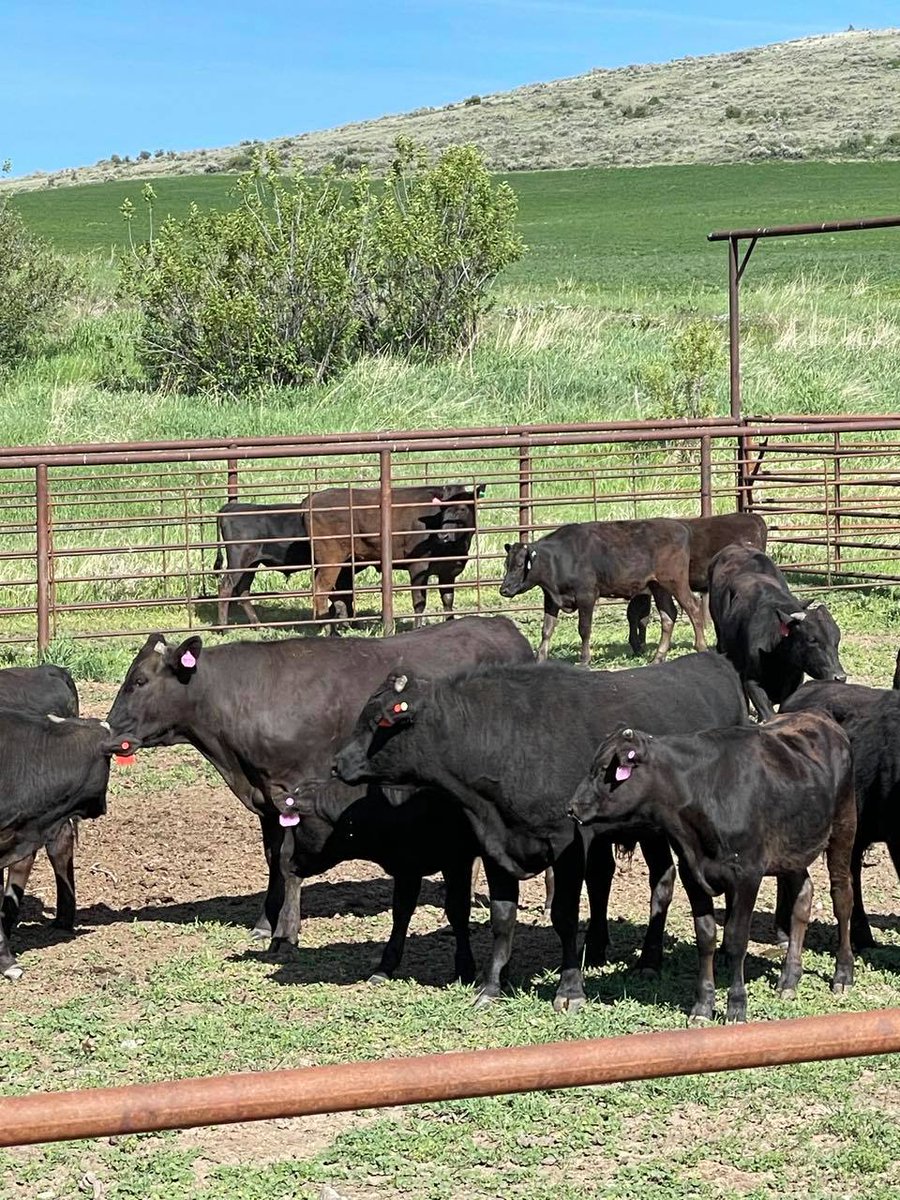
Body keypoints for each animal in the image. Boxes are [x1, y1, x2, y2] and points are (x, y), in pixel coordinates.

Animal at [105, 616, 532, 978]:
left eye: (139, 681)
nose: (108, 734)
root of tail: (502, 626)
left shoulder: (296, 790)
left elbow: (287, 860)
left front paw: (285, 932)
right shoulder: (266, 801)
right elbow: (273, 859)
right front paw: (265, 922)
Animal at [304, 483, 486, 631]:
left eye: (463, 508)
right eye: (442, 510)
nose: (444, 535)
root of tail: (314, 496)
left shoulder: (449, 570)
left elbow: (448, 600)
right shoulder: (418, 566)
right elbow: (419, 601)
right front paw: (417, 627)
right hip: (331, 558)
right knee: (321, 590)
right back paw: (330, 629)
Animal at [332, 651, 748, 1012]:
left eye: (377, 722)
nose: (337, 763)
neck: (503, 741)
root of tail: (713, 661)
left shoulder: (567, 843)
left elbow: (563, 915)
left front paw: (570, 989)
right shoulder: (495, 845)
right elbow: (502, 918)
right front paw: (491, 986)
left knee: (661, 883)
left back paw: (649, 960)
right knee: (619, 879)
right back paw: (600, 949)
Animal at [498, 519, 706, 666]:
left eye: (520, 565)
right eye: (506, 564)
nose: (504, 589)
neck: (558, 559)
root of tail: (680, 527)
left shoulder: (586, 595)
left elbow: (584, 629)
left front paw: (584, 660)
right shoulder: (551, 599)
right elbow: (547, 630)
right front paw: (540, 659)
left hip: (675, 581)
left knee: (694, 608)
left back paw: (701, 647)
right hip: (658, 586)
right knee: (668, 616)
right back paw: (658, 657)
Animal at [568, 712, 856, 1023]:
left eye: (602, 770)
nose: (572, 807)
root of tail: (819, 717)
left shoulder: (747, 875)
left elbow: (736, 939)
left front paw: (736, 1005)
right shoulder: (691, 874)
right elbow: (706, 937)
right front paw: (703, 1005)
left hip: (843, 828)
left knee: (842, 898)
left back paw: (843, 974)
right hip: (792, 850)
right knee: (803, 898)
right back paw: (789, 978)